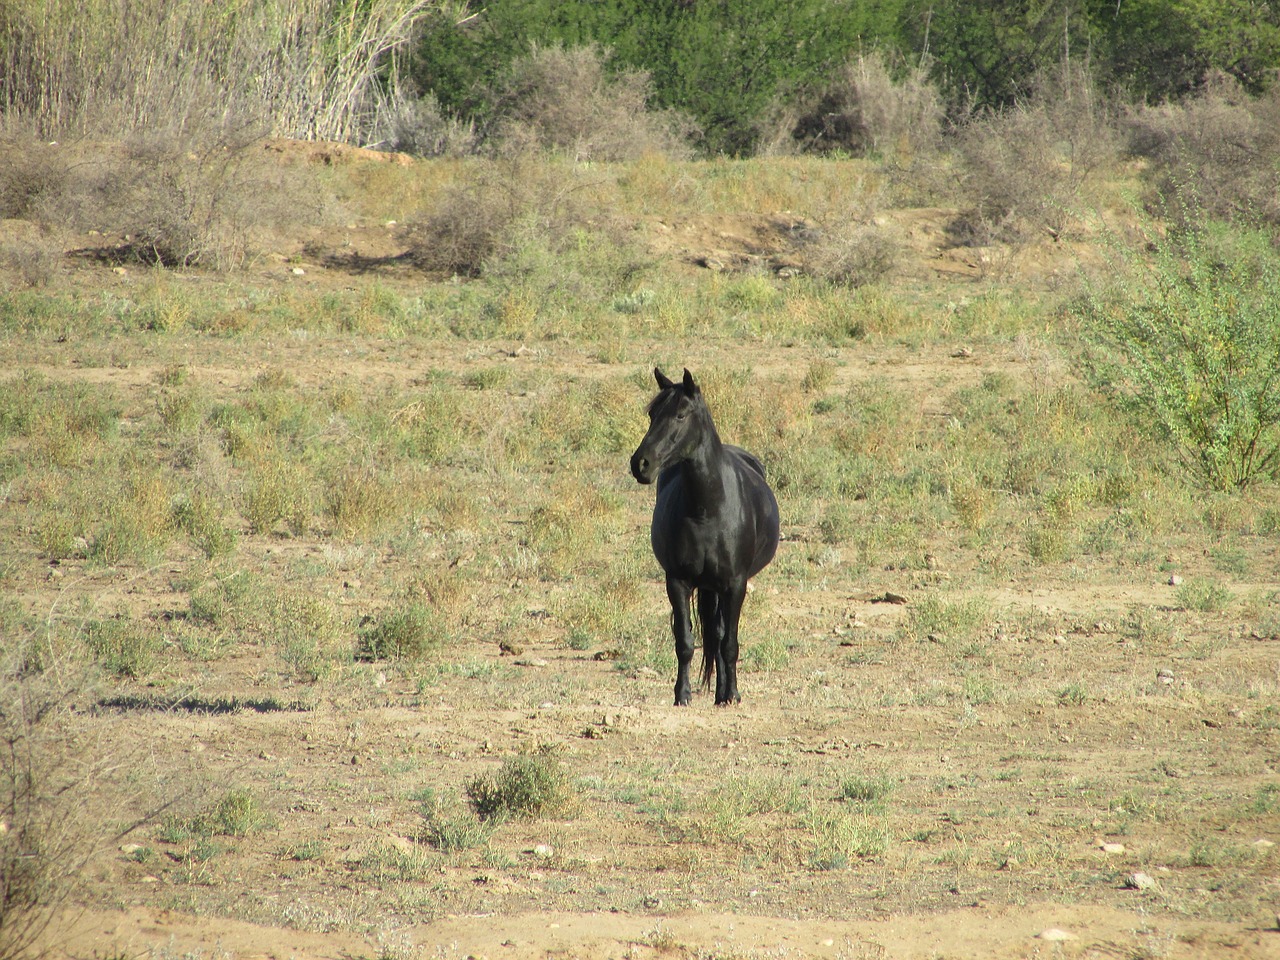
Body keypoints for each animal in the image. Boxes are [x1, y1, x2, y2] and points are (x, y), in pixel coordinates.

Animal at [629, 368, 778, 706]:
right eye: (652, 414)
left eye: (681, 415)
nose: (640, 464)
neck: (708, 510)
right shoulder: (677, 581)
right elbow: (685, 642)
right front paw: (681, 695)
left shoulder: (736, 584)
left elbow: (729, 644)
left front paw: (732, 694)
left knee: (721, 636)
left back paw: (724, 693)